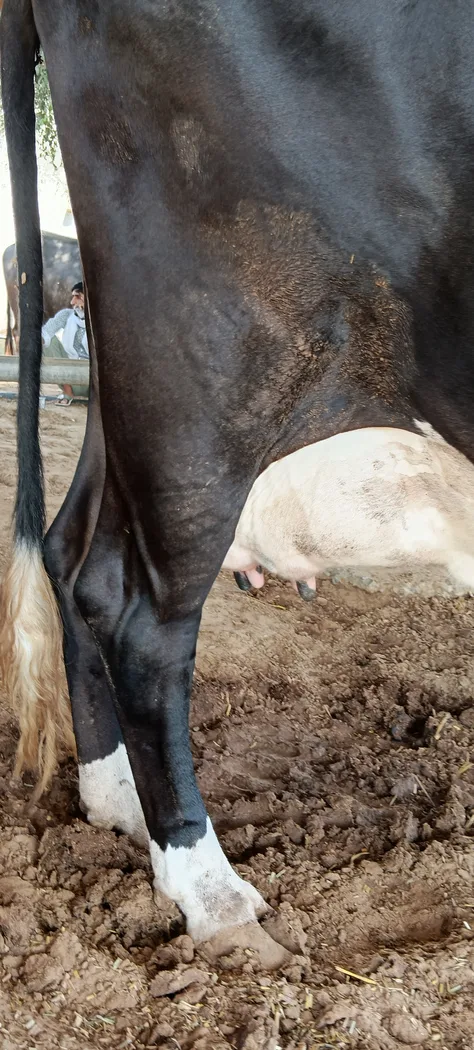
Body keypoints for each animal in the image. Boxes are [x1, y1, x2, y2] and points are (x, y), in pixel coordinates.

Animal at [2, 0, 474, 946]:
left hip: (129, 385)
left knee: (70, 552)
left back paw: (118, 799)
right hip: (204, 362)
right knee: (137, 617)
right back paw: (208, 888)